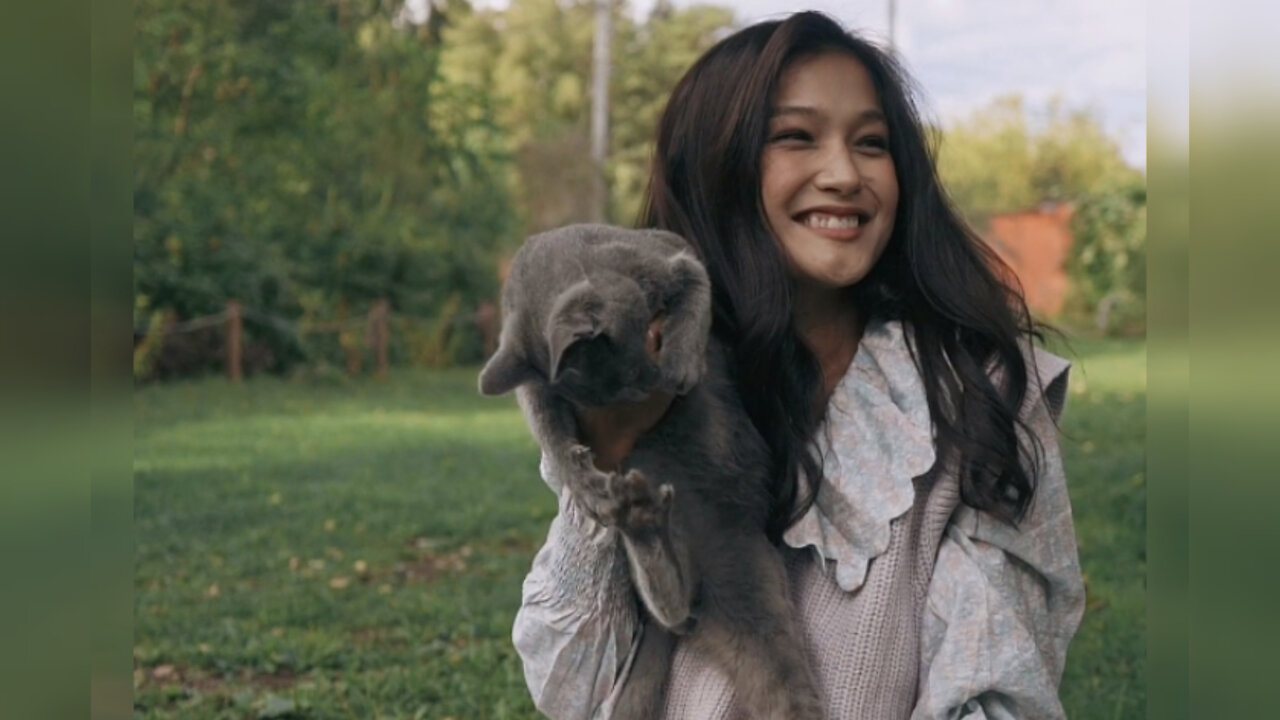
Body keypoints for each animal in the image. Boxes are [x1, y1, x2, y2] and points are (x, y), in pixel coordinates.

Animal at [481, 224, 819, 717]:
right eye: (619, 387)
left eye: (634, 370)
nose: (649, 387)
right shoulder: (537, 392)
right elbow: (550, 432)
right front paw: (583, 481)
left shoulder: (671, 258)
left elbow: (695, 292)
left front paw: (681, 364)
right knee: (675, 605)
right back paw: (641, 522)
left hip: (754, 566)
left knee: (684, 607)